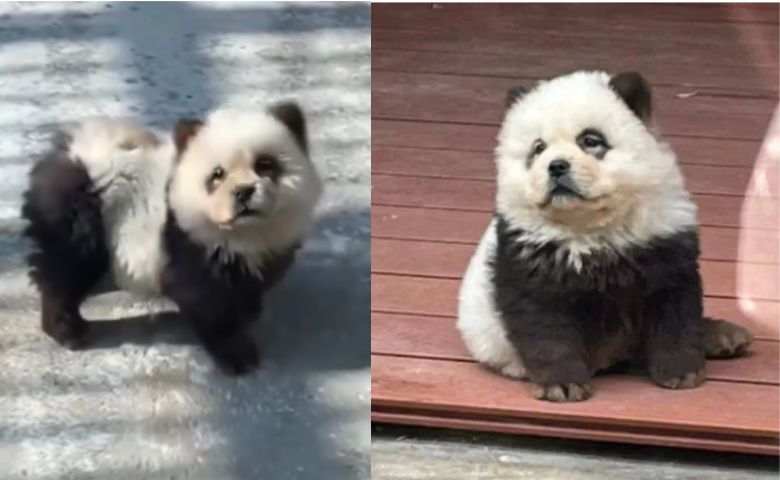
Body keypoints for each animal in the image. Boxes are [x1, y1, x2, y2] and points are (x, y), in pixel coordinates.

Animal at [21, 102, 322, 374]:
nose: (244, 192)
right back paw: (67, 331)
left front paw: (250, 311)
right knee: (65, 271)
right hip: (81, 217)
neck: (245, 232)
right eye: (217, 174)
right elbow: (207, 303)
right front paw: (238, 355)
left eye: (265, 164)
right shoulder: (190, 246)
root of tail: (73, 155)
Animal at [457, 71, 753, 402]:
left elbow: (675, 308)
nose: (556, 166)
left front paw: (682, 371)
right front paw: (562, 384)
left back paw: (723, 336)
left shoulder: (662, 240)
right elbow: (545, 324)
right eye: (538, 148)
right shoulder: (529, 253)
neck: (591, 225)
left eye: (590, 141)